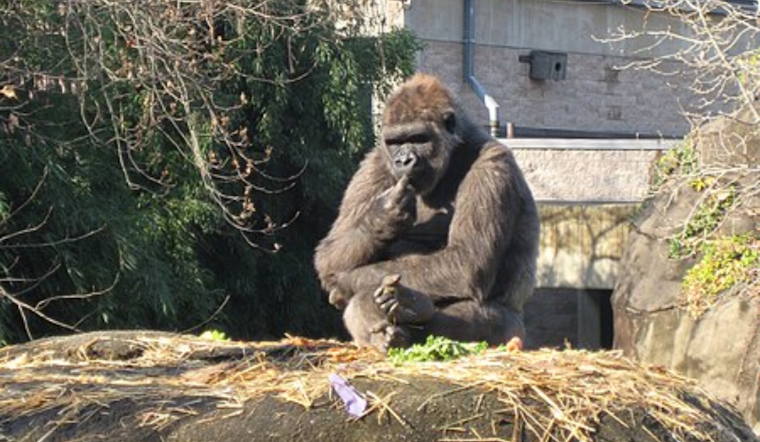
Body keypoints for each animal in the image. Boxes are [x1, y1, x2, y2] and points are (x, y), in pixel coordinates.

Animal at [314, 74, 540, 352]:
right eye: (395, 142)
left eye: (419, 138)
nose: (403, 161)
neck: (454, 152)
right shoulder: (372, 165)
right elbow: (328, 254)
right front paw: (381, 218)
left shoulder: (493, 166)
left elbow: (467, 260)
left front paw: (346, 283)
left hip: (516, 331)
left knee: (488, 318)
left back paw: (411, 307)